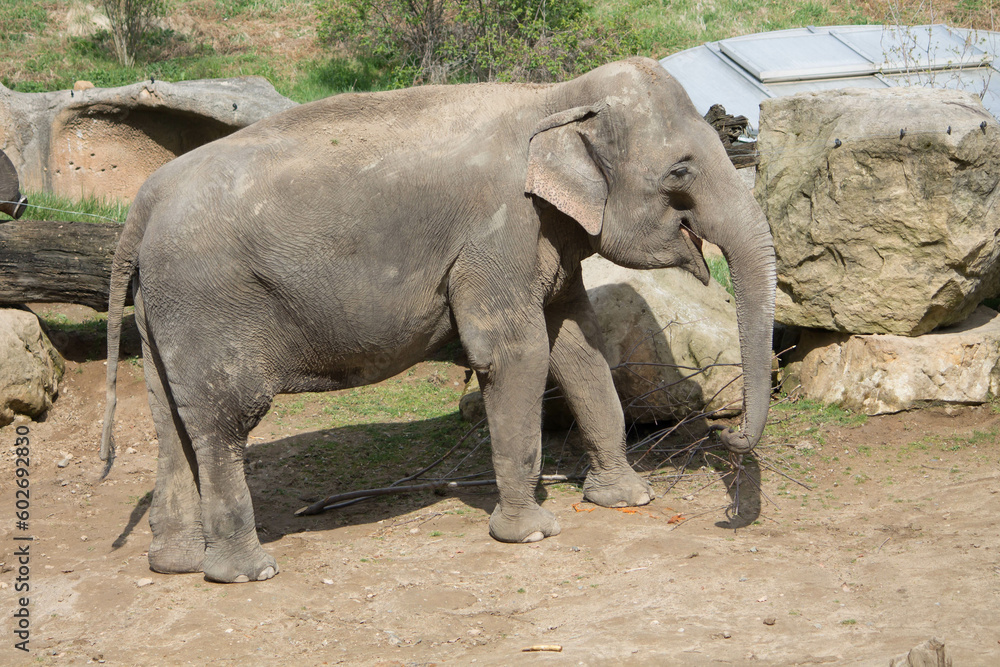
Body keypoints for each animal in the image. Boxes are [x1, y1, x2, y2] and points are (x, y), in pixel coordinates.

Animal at [100, 57, 776, 583]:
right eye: (680, 171)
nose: (725, 435)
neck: (552, 96)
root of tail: (143, 202)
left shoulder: (549, 235)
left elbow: (579, 347)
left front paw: (627, 498)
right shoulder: (497, 231)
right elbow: (515, 352)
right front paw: (533, 532)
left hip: (162, 311)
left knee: (171, 418)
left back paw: (177, 564)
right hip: (206, 301)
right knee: (224, 418)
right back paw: (247, 571)